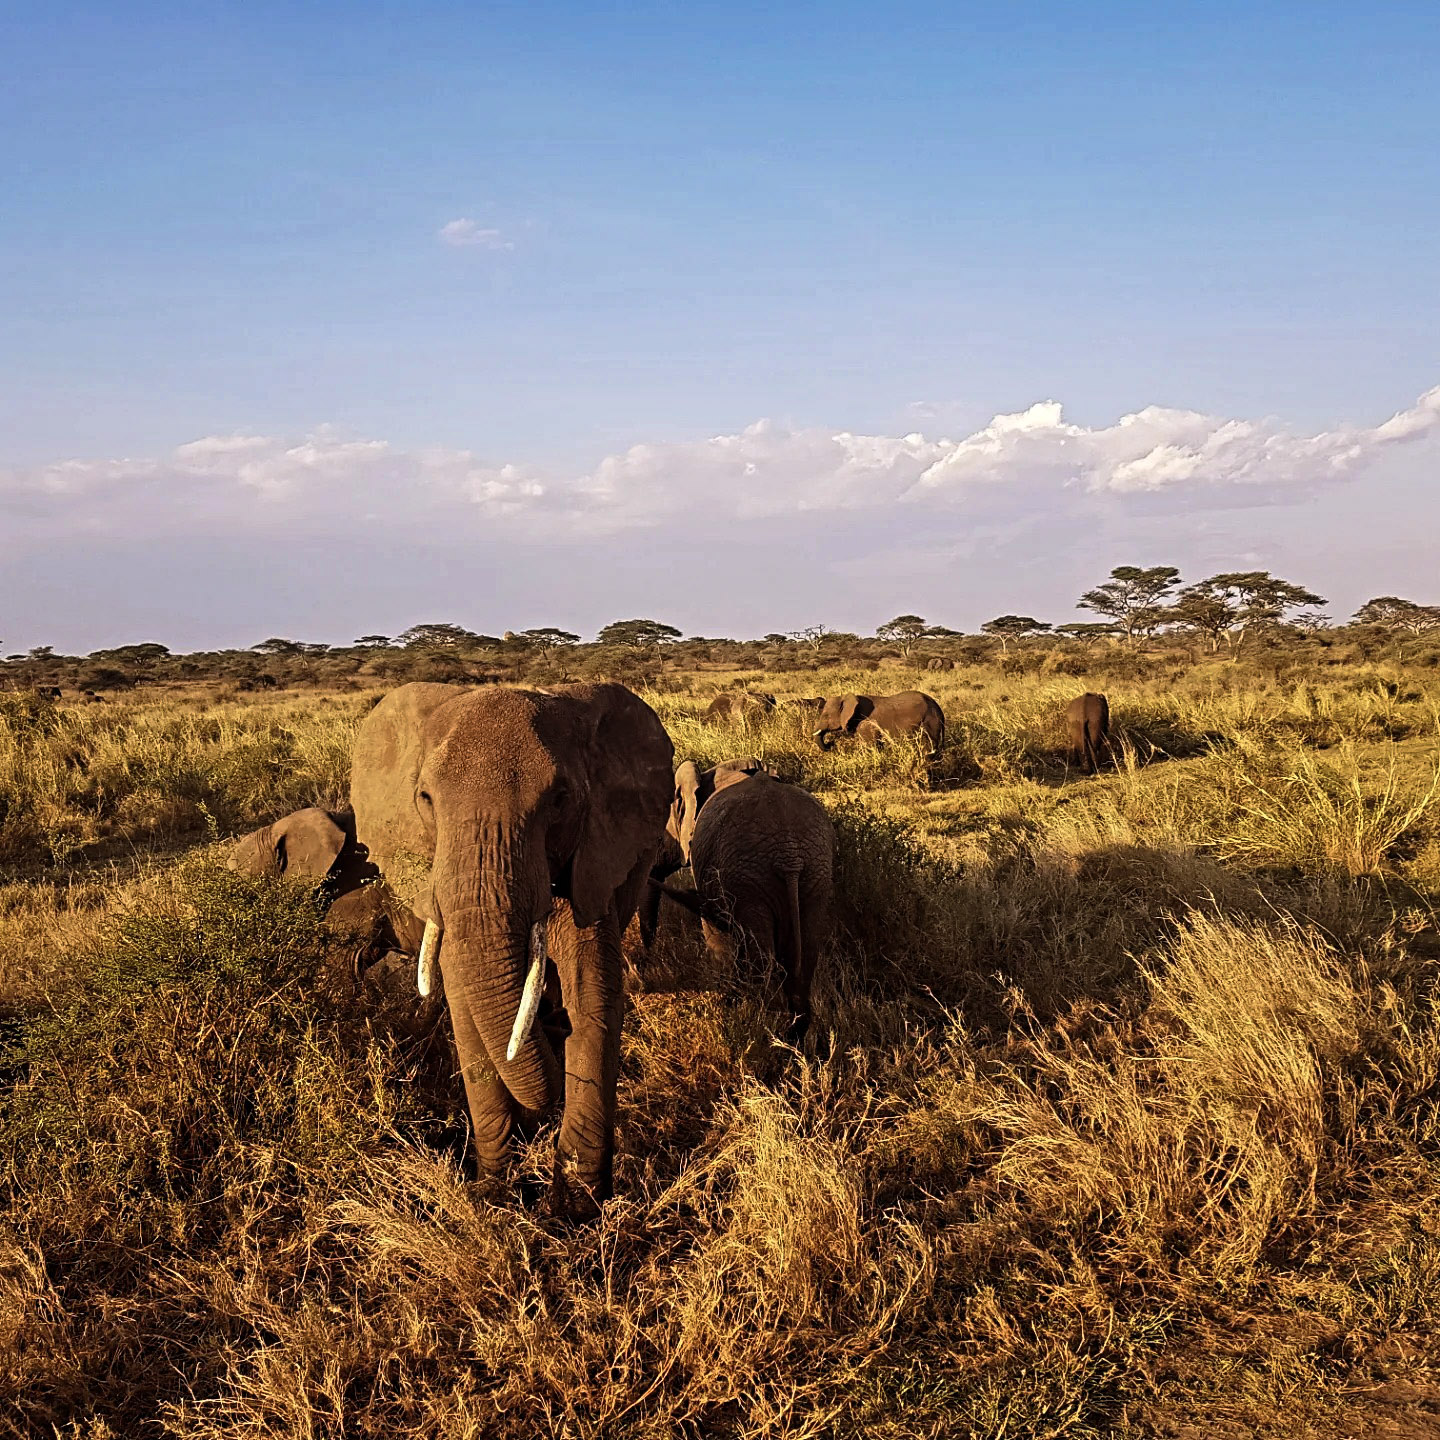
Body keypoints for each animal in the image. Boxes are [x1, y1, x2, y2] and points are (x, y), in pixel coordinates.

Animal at [350, 681, 674, 1217]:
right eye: (425, 799)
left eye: (560, 800)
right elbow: (465, 1008)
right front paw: (495, 1195)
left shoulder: (590, 860)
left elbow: (593, 993)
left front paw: (575, 1209)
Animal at [655, 770, 834, 1041]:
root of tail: (789, 857)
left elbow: (714, 930)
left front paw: (726, 1003)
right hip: (814, 873)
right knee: (807, 950)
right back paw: (792, 1035)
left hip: (750, 876)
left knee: (760, 956)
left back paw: (751, 1020)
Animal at [812, 690, 945, 757]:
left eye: (826, 716)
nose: (831, 744)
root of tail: (938, 707)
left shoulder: (866, 724)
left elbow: (869, 746)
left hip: (930, 721)